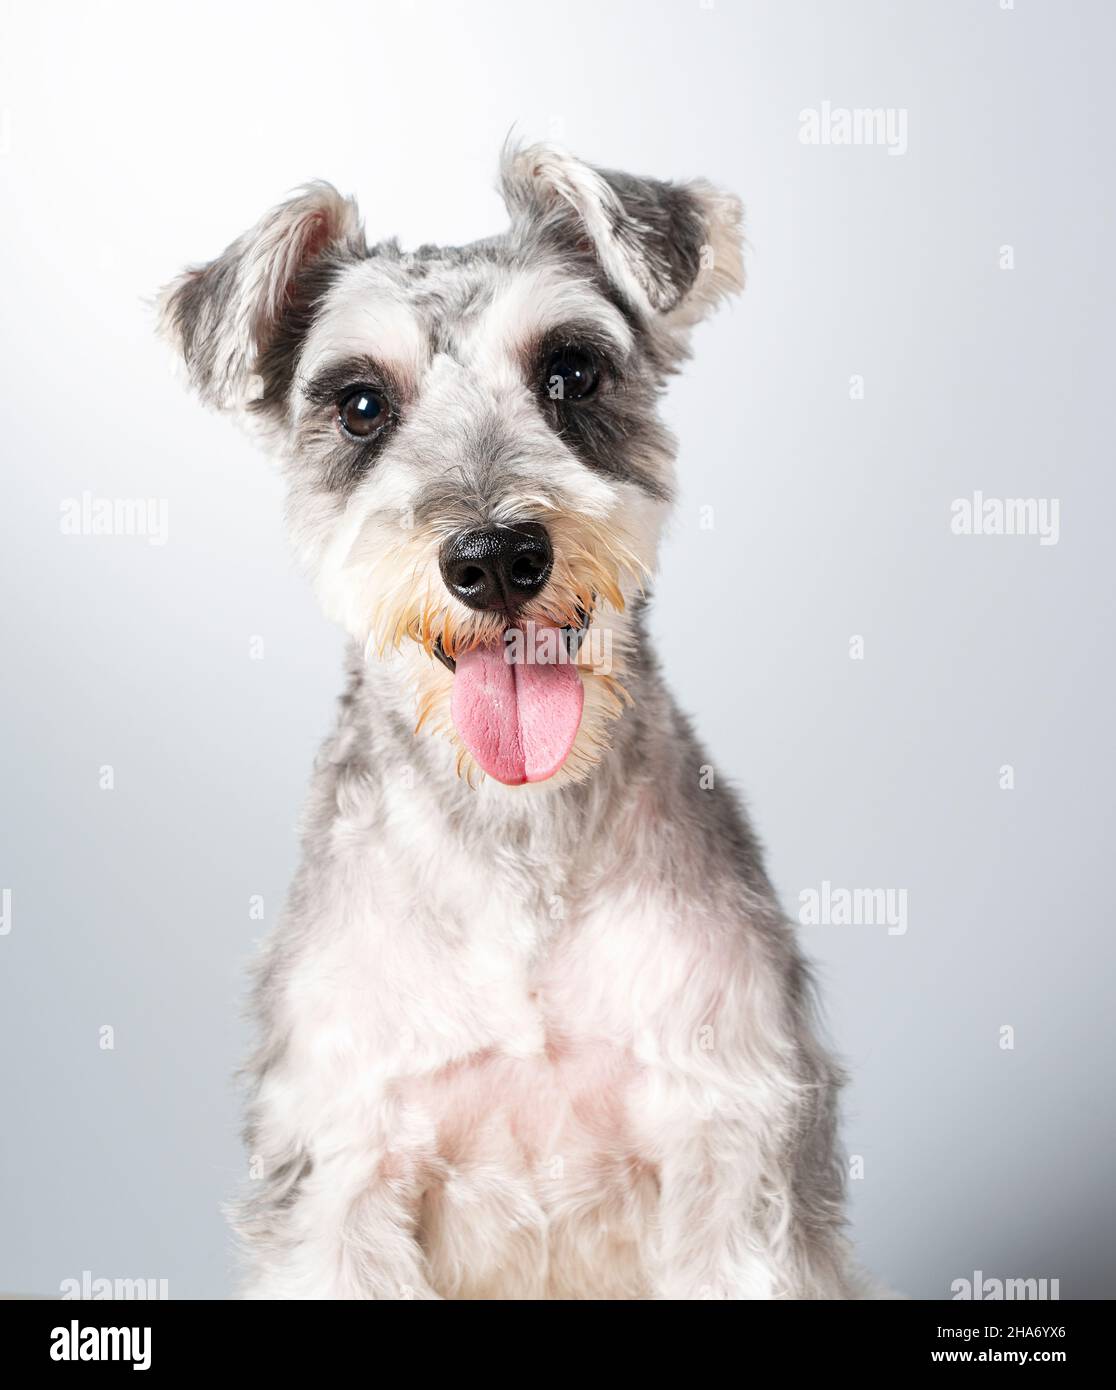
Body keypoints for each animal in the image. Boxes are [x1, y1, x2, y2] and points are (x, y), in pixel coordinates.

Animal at [157, 146, 861, 1295]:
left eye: (570, 373)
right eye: (361, 404)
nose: (495, 556)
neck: (519, 838)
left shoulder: (733, 1156)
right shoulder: (342, 1172)